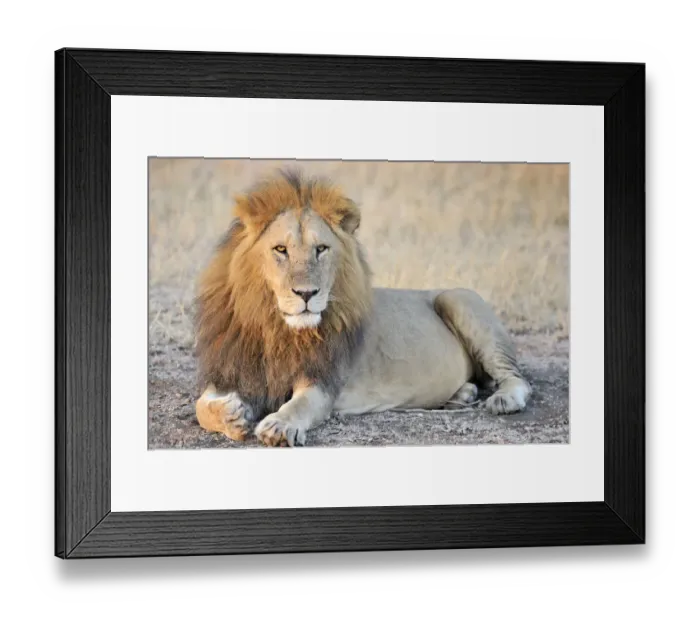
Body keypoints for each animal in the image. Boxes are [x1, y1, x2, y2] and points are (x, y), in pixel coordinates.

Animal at [193, 169, 531, 447]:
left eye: (321, 249)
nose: (307, 293)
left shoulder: (322, 383)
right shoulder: (233, 370)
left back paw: (504, 400)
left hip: (458, 299)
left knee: (517, 378)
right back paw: (462, 394)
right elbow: (201, 406)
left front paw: (278, 425)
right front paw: (230, 414)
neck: (273, 326)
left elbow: (298, 405)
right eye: (280, 249)